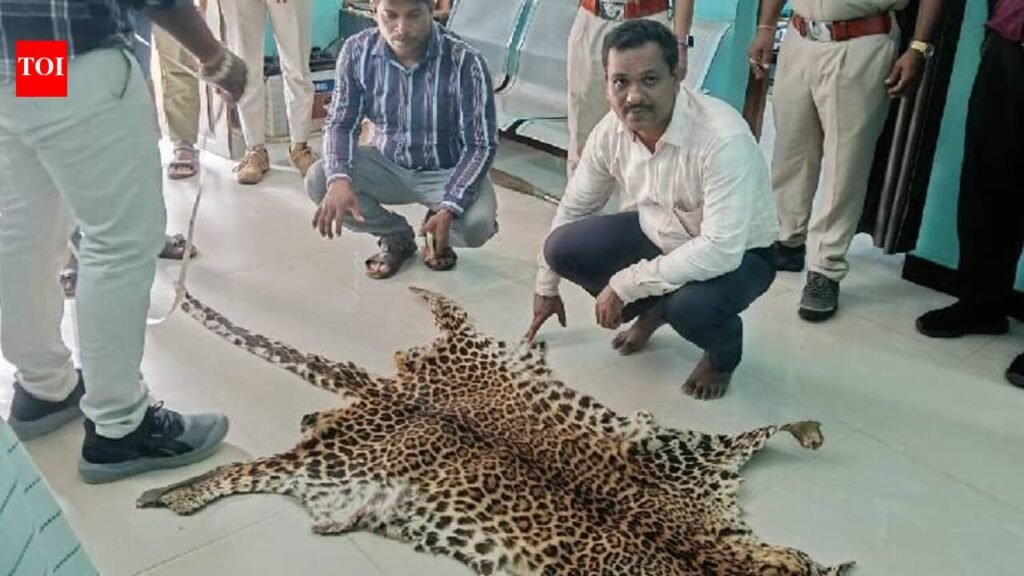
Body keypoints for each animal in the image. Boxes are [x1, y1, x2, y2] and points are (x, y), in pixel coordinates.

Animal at [137, 286, 854, 576]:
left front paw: (812, 429)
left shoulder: (701, 461)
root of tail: (394, 391)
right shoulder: (702, 457)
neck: (715, 557)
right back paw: (172, 494)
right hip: (332, 460)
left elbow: (769, 426)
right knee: (246, 470)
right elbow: (764, 427)